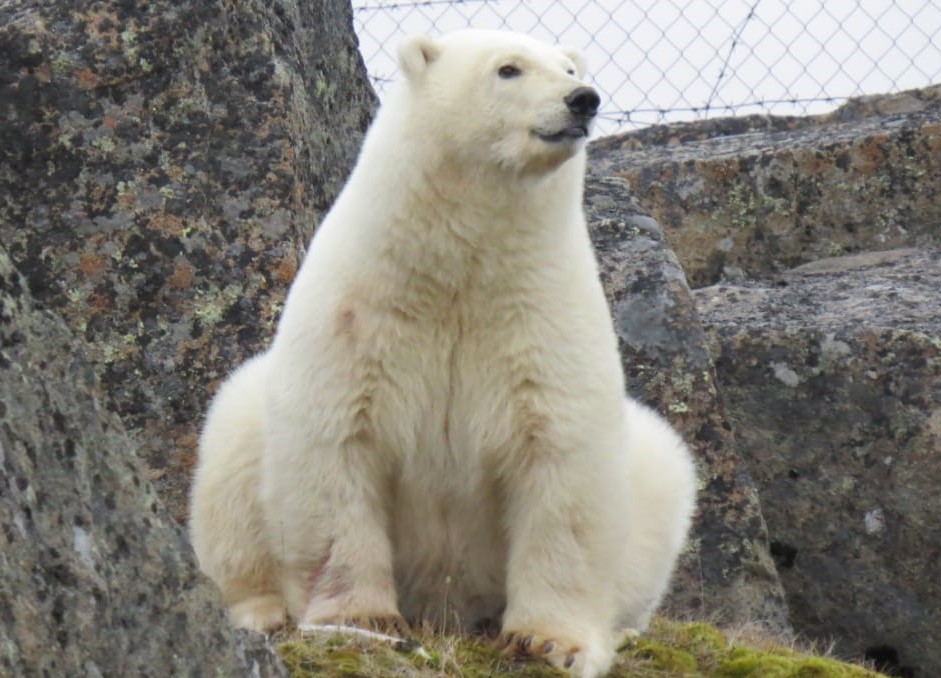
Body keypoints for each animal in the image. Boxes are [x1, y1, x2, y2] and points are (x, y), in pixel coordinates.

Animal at [189, 29, 697, 678]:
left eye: (568, 67)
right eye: (508, 69)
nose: (583, 98)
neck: (459, 270)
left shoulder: (540, 319)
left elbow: (561, 465)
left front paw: (548, 642)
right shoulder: (360, 320)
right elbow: (336, 448)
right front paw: (361, 619)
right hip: (243, 425)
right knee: (231, 468)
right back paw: (262, 610)